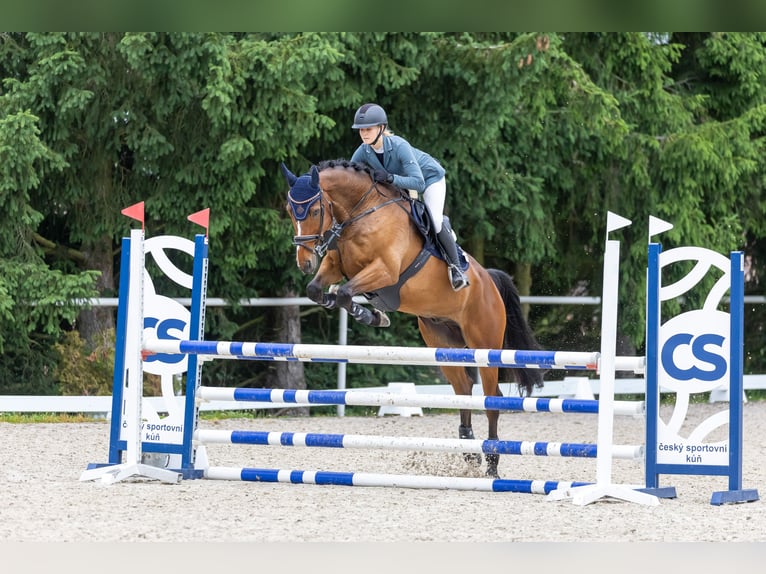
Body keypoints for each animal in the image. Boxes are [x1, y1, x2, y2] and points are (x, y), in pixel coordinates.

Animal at [281, 159, 544, 478]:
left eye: (316, 211)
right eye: (289, 210)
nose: (304, 262)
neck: (360, 214)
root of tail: (489, 281)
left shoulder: (384, 270)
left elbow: (345, 292)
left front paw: (371, 315)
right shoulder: (334, 265)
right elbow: (318, 290)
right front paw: (365, 311)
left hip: (485, 345)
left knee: (492, 399)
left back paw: (492, 464)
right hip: (444, 345)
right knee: (464, 391)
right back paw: (470, 454)